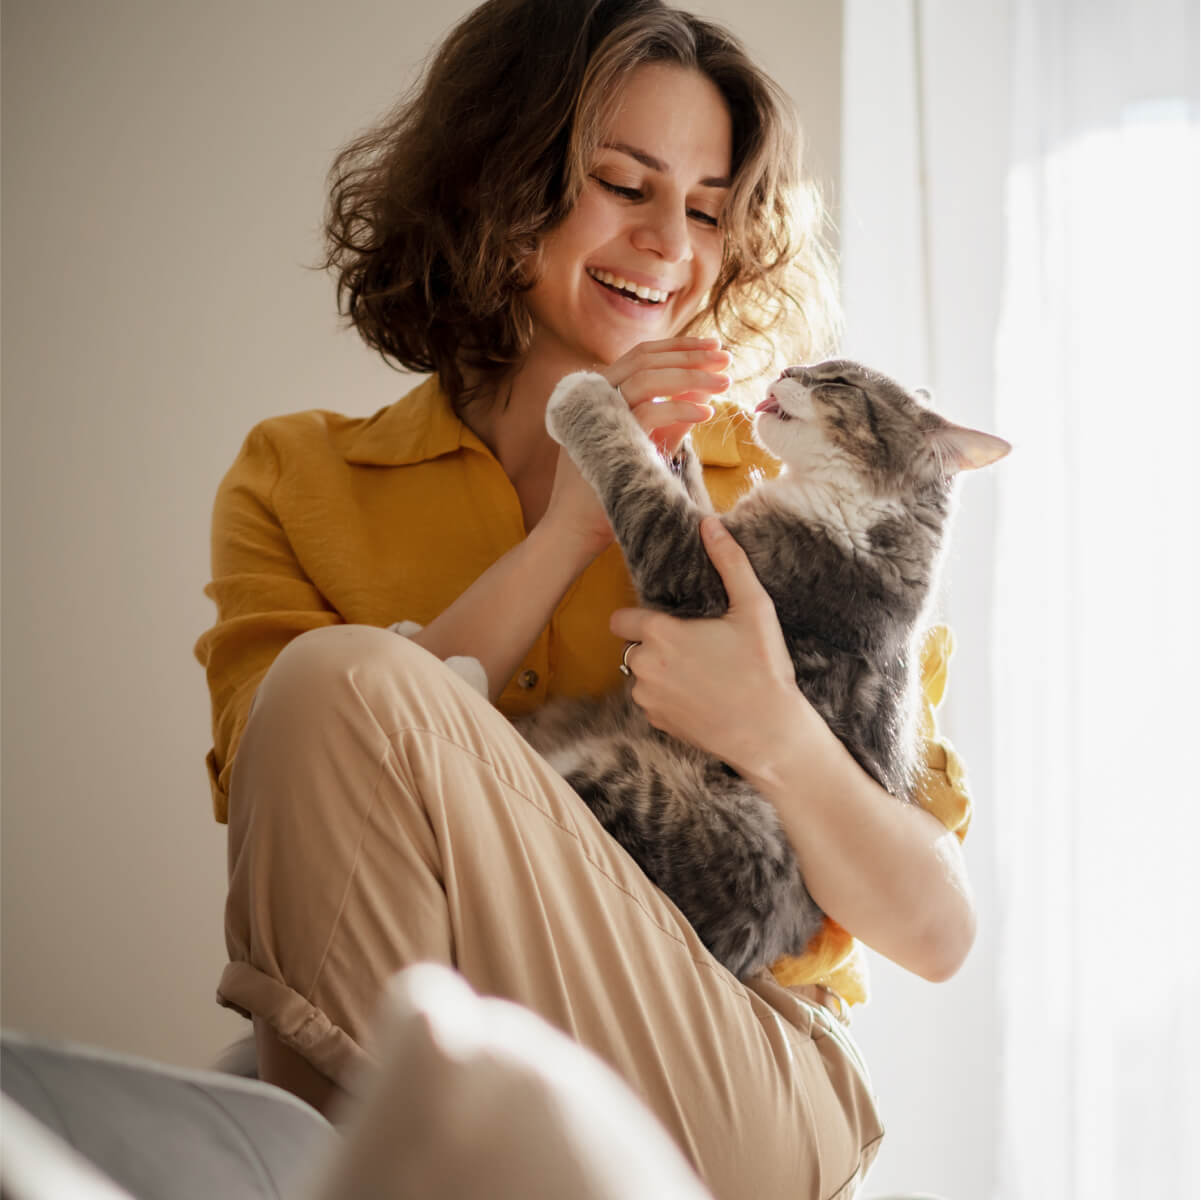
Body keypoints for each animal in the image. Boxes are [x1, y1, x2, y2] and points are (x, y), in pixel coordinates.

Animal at [408, 360, 1008, 980]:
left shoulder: (695, 567)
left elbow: (637, 477)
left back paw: (444, 665)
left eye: (838, 381)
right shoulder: (714, 532)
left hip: (638, 787)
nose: (788, 368)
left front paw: (583, 394)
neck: (857, 514)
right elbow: (680, 484)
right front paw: (677, 431)